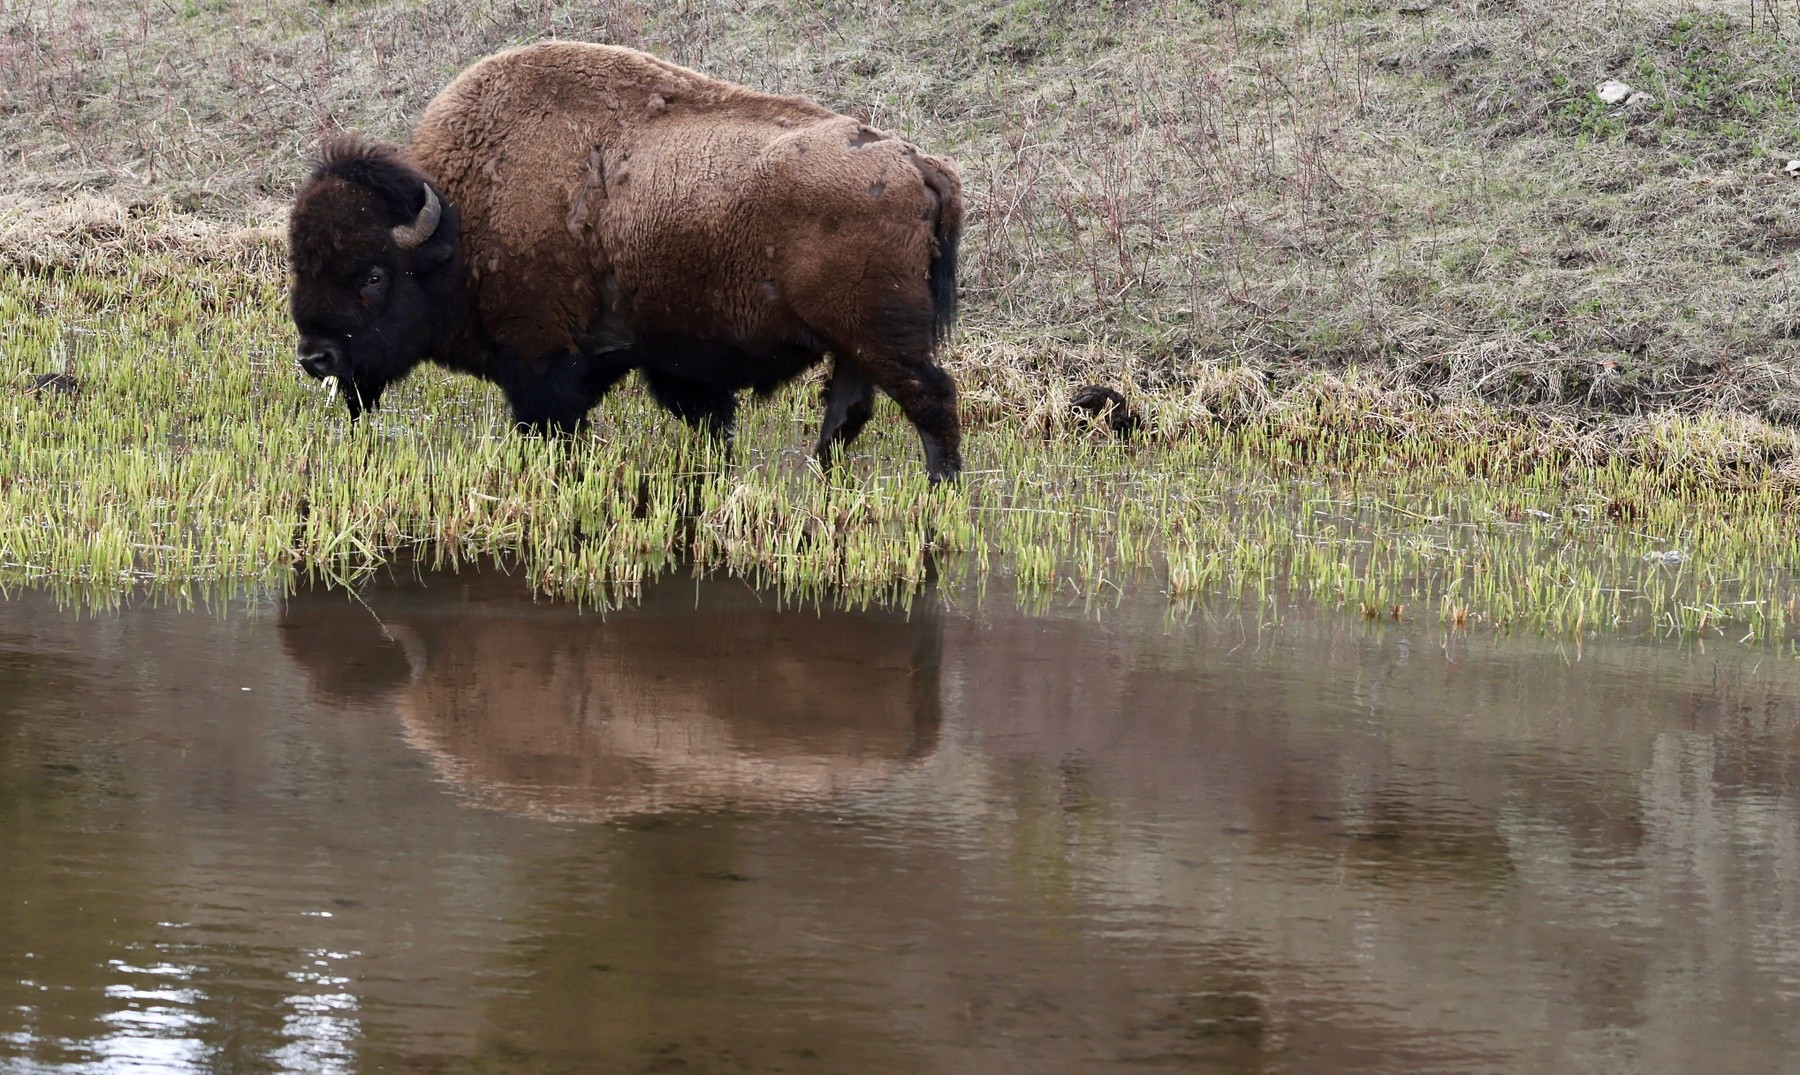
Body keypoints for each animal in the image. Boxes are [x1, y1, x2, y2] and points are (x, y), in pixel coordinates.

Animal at [287, 42, 965, 481]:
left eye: (373, 274)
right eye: (299, 264)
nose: (316, 357)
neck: (459, 218)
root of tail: (917, 163)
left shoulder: (542, 364)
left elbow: (552, 427)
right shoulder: (672, 366)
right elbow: (710, 425)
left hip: (883, 336)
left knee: (931, 399)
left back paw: (942, 491)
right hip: (853, 345)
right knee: (847, 412)